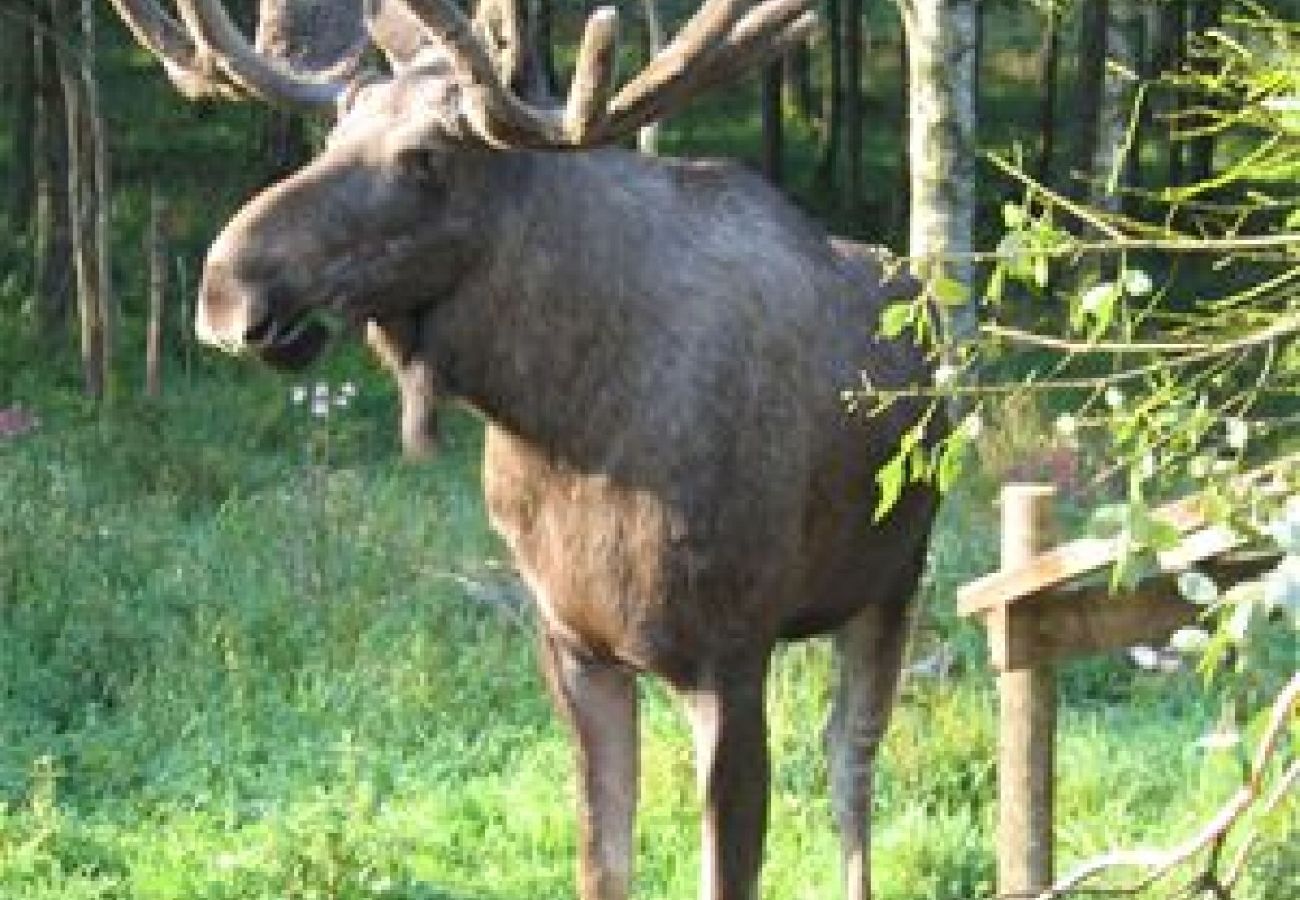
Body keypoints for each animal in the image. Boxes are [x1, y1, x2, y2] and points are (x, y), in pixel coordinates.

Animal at [106, 3, 941, 894]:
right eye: (335, 130)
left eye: (425, 158)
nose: (226, 290)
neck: (568, 422)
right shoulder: (572, 642)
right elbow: (602, 860)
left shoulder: (731, 656)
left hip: (892, 576)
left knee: (851, 761)